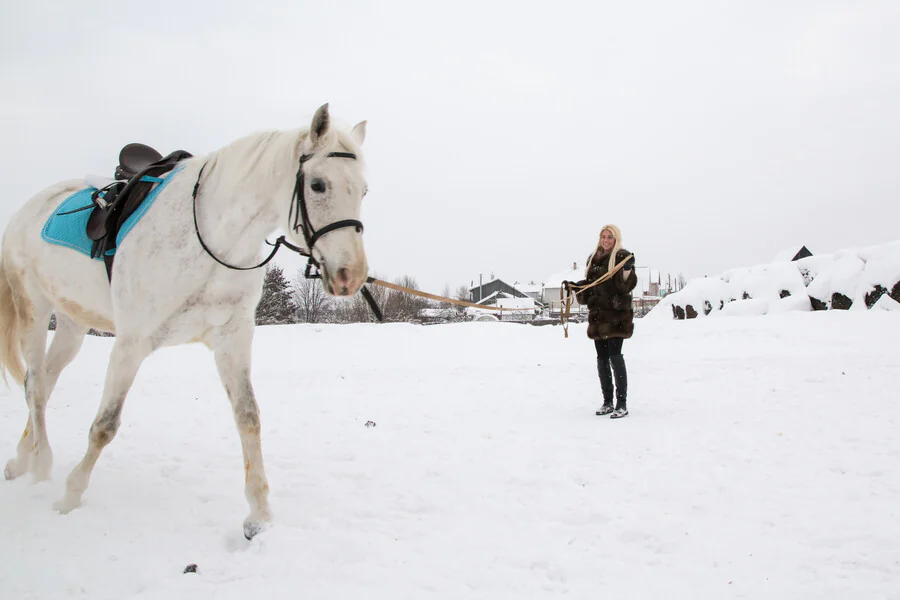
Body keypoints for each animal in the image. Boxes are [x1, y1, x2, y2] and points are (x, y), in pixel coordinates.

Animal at [0, 103, 370, 540]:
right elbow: (105, 425)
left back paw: (22, 460)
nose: (352, 275)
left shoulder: (232, 340)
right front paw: (71, 496)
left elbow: (249, 417)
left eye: (363, 191)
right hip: (35, 309)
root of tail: (28, 207)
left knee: (43, 381)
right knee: (36, 387)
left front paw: (258, 515)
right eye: (317, 185)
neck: (211, 239)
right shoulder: (131, 343)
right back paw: (41, 465)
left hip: (73, 323)